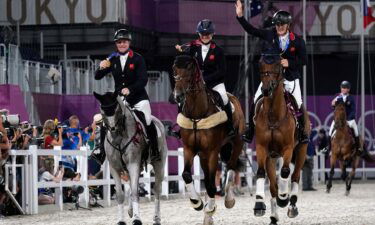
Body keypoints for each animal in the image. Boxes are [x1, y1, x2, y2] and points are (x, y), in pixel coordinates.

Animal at [93, 92, 168, 225]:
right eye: (102, 110)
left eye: (117, 109)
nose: (112, 129)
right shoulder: (115, 168)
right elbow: (120, 194)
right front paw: (121, 220)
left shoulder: (133, 164)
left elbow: (134, 192)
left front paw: (137, 219)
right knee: (130, 187)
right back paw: (131, 210)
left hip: (159, 165)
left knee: (157, 190)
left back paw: (156, 218)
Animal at [173, 55, 247, 225]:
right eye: (174, 69)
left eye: (189, 70)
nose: (178, 96)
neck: (197, 114)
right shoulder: (189, 149)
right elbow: (187, 175)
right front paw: (197, 203)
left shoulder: (212, 151)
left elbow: (211, 184)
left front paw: (210, 207)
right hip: (203, 155)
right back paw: (207, 214)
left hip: (236, 143)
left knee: (231, 167)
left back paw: (228, 200)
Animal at [254, 54, 312, 225]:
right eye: (261, 67)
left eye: (278, 67)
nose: (266, 89)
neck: (273, 115)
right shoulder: (262, 148)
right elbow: (261, 173)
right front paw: (259, 204)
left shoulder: (288, 148)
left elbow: (285, 171)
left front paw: (283, 198)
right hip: (271, 157)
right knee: (273, 186)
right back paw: (274, 216)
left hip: (301, 150)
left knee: (295, 176)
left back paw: (291, 205)